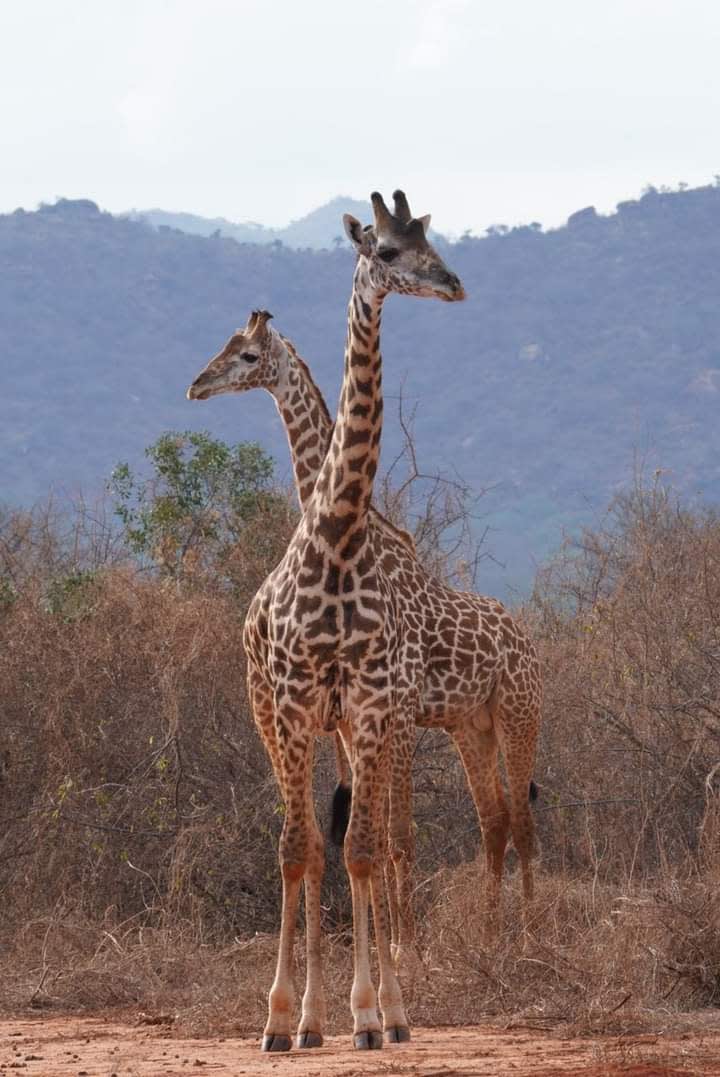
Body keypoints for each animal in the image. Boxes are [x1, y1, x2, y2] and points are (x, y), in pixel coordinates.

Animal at [187, 208, 542, 973]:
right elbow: (357, 832)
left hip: (518, 710)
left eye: (247, 355)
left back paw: (528, 936)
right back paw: (494, 933)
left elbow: (392, 836)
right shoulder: (357, 720)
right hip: (467, 722)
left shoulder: (394, 712)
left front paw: (405, 952)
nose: (196, 384)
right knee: (495, 817)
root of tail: (528, 636)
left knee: (520, 818)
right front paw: (387, 952)